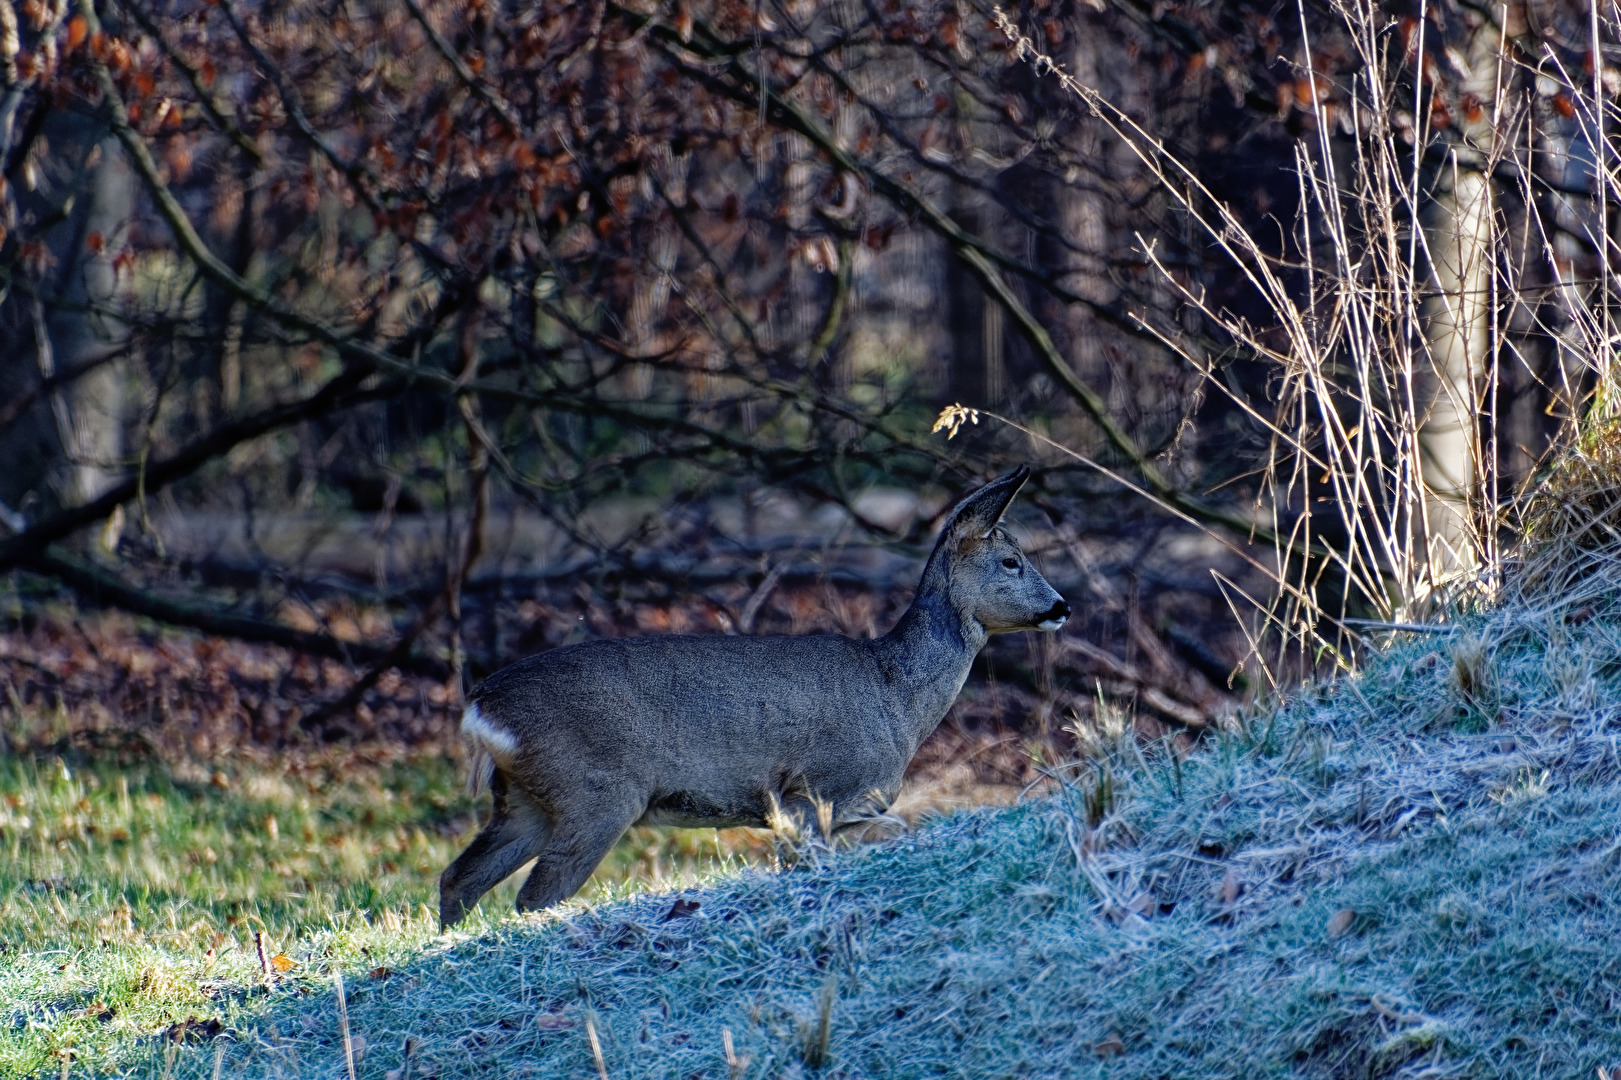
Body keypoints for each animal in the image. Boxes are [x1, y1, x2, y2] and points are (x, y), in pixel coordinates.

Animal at [439, 466, 1070, 928]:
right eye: (1012, 561)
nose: (1062, 606)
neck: (897, 696)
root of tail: (481, 707)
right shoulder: (812, 793)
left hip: (526, 799)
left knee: (459, 877)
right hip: (594, 792)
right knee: (533, 895)